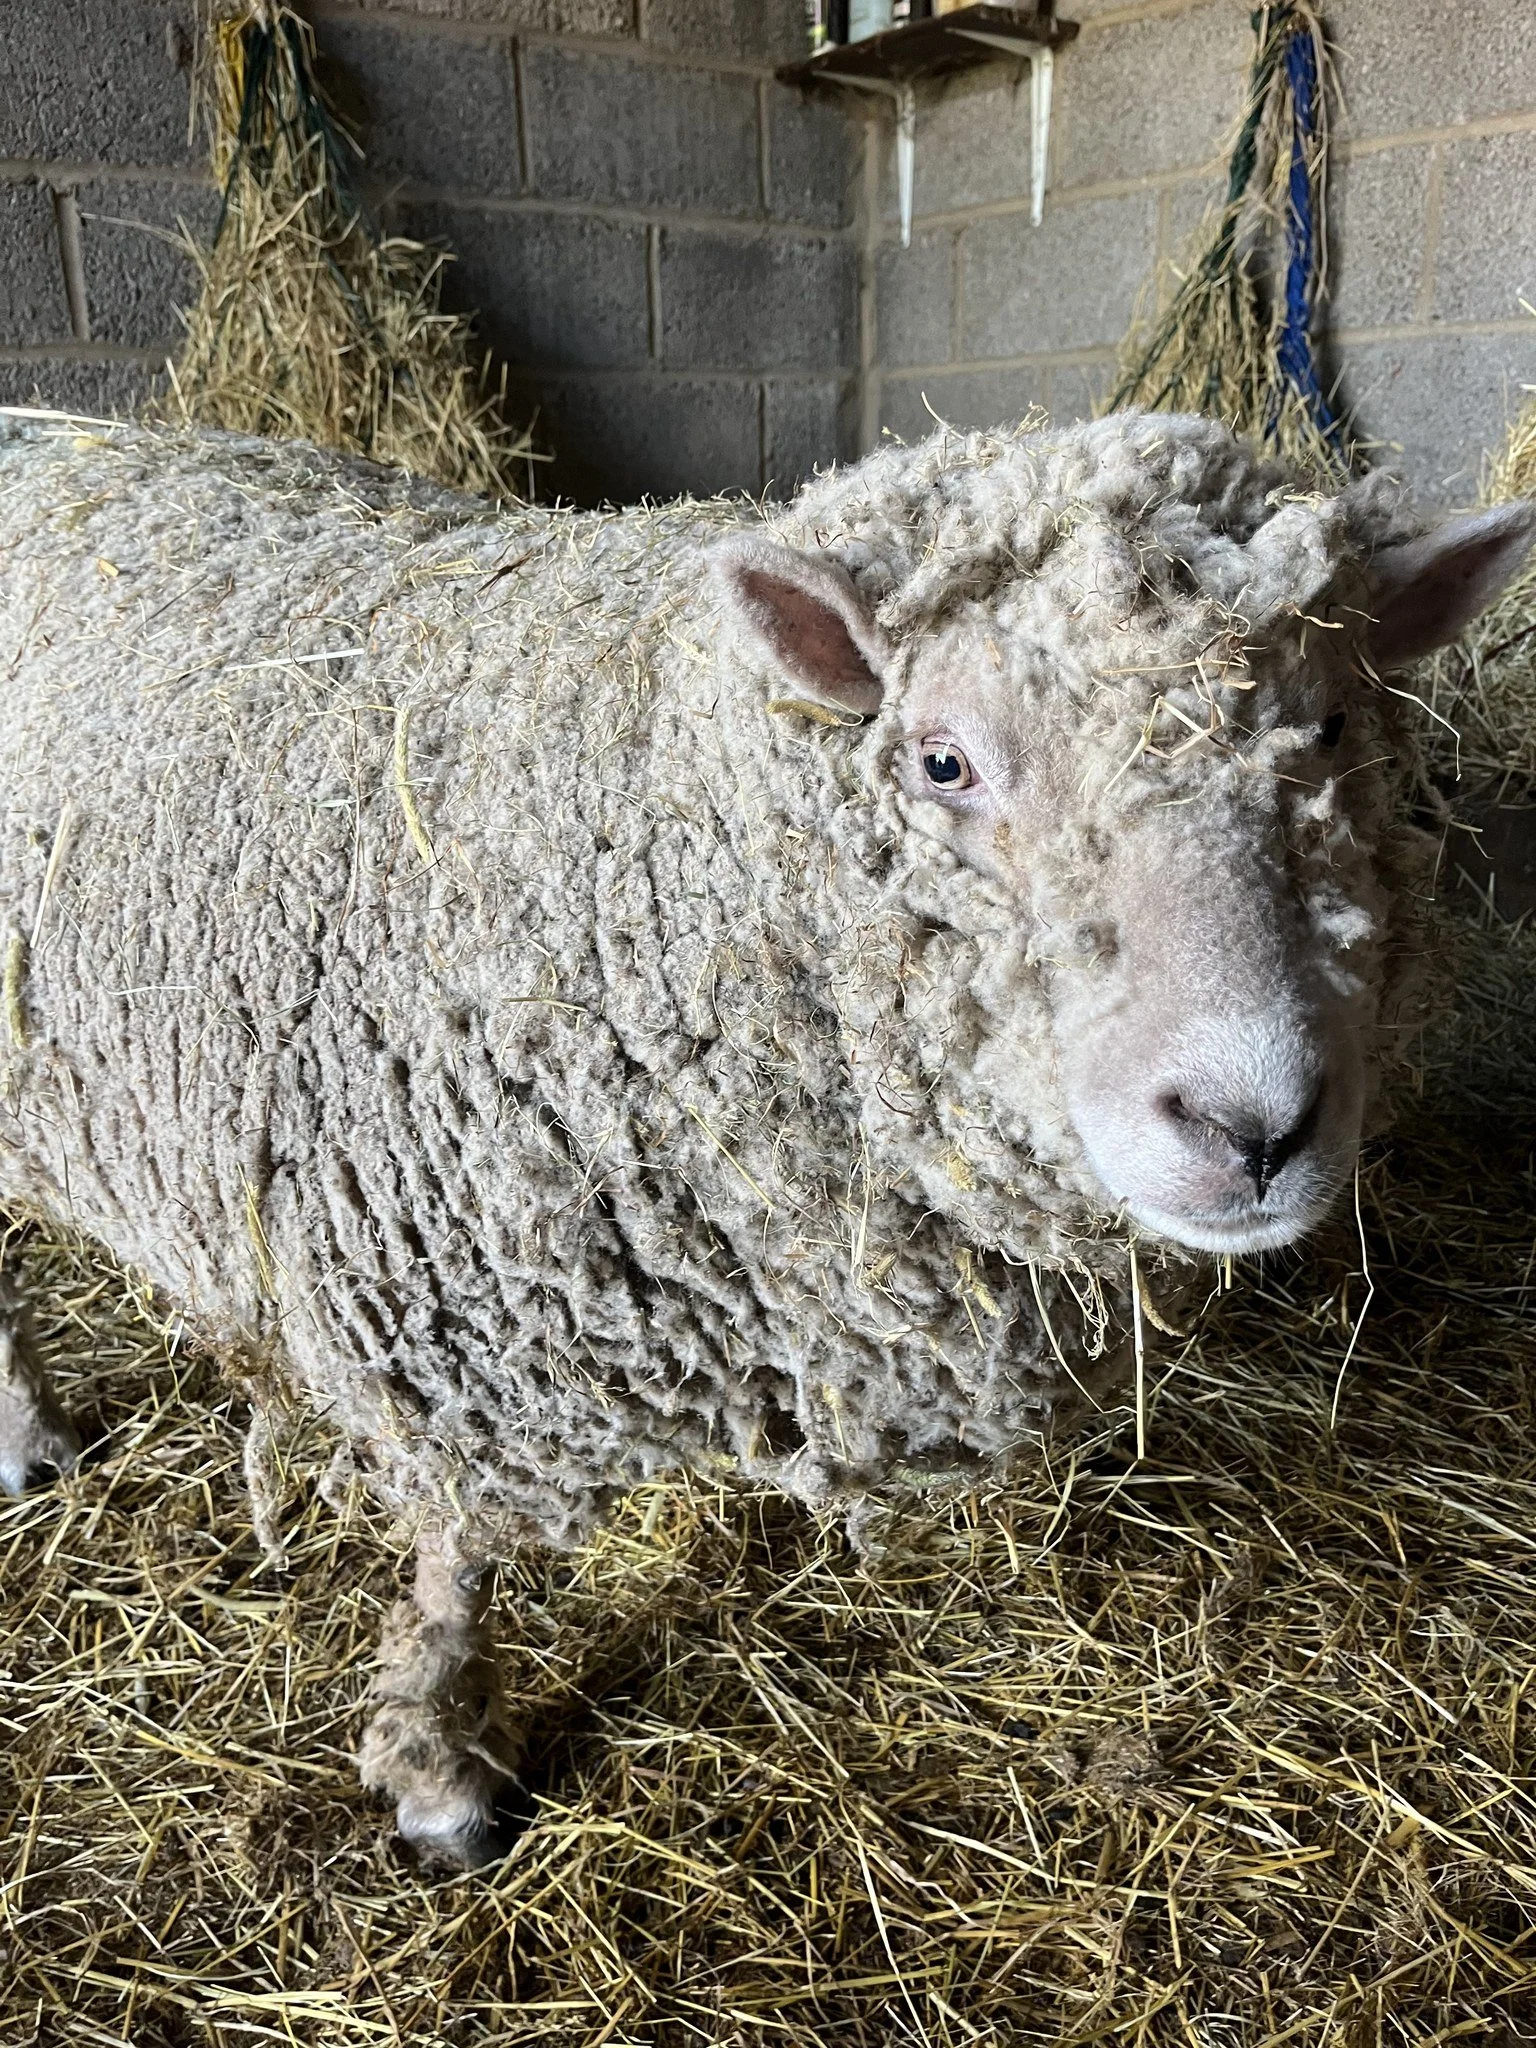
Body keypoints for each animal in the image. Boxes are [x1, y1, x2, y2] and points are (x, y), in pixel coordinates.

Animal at [1, 407, 1530, 1867]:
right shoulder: (423, 1297)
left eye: (1331, 731)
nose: (1251, 1121)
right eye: (942, 760)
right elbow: (455, 1548)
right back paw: (32, 1436)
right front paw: (439, 1766)